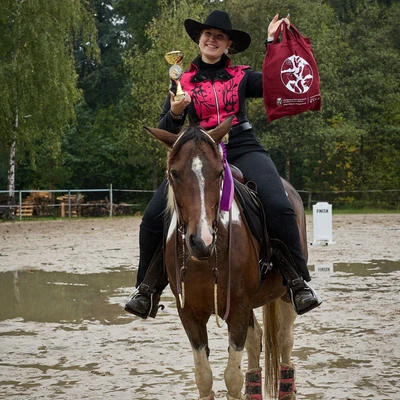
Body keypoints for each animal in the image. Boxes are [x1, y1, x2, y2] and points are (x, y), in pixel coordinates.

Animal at [145, 117, 304, 398]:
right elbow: (203, 376)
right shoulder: (189, 313)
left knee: (285, 342)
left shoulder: (238, 308)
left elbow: (232, 378)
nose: (201, 241)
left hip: (284, 295)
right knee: (256, 340)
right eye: (174, 173)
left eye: (219, 173)